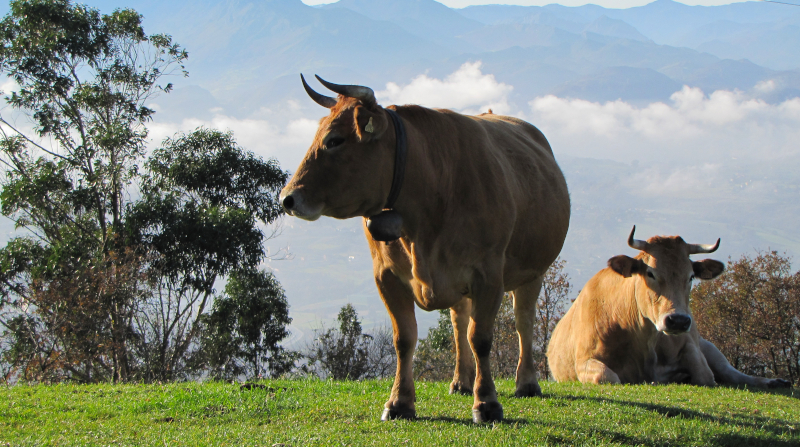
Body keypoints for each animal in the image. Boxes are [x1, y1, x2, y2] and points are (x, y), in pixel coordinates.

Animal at [280, 75, 570, 422]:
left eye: (335, 140)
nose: (287, 198)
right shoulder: (386, 276)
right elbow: (404, 339)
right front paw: (399, 402)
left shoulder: (488, 275)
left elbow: (481, 338)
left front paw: (487, 403)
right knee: (459, 322)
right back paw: (461, 381)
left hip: (533, 270)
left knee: (522, 320)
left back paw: (526, 382)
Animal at [547, 226, 791, 388]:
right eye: (650, 273)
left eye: (691, 276)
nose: (678, 320)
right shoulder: (584, 360)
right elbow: (608, 377)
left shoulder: (691, 345)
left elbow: (706, 376)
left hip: (710, 345)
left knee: (732, 373)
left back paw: (774, 381)